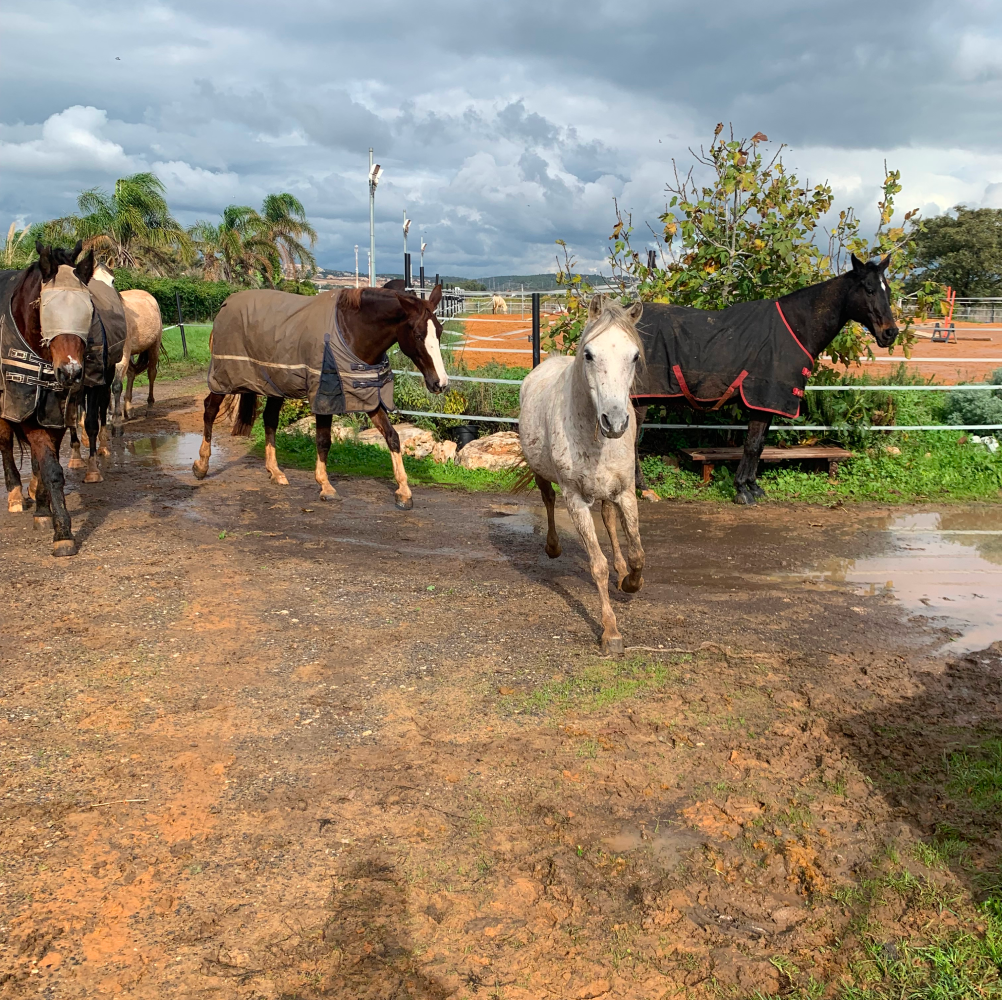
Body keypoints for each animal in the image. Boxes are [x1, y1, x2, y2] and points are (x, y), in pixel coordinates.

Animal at [0, 242, 97, 557]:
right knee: (6, 445)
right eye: (46, 309)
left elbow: (45, 464)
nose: (71, 372)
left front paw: (45, 511)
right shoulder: (25, 408)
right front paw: (63, 533)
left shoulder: (54, 413)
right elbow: (51, 469)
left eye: (89, 309)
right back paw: (15, 495)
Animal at [521, 294, 645, 657]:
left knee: (608, 519)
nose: (615, 422)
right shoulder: (575, 499)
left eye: (634, 356)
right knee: (548, 500)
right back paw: (553, 547)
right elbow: (597, 565)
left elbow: (637, 552)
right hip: (542, 473)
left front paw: (630, 582)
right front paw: (611, 632)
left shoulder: (625, 491)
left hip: (607, 492)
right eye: (589, 354)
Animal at [633, 254, 901, 505]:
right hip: (639, 401)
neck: (795, 328)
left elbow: (760, 445)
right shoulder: (762, 399)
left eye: (887, 289)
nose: (890, 332)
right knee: (632, 444)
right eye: (869, 289)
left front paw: (753, 487)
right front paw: (742, 491)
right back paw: (644, 490)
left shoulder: (770, 404)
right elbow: (751, 445)